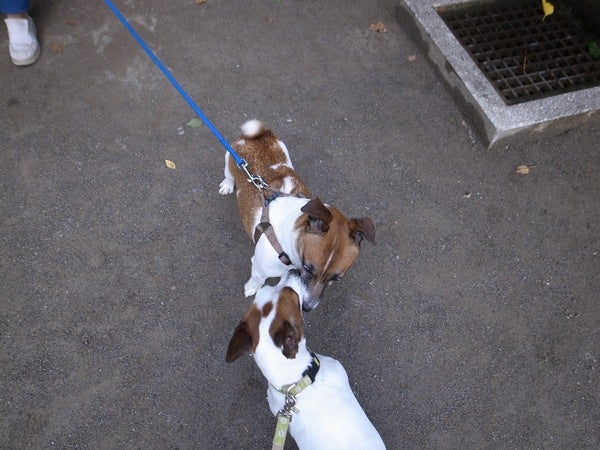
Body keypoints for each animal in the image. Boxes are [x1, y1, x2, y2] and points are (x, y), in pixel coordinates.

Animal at [219, 120, 375, 311]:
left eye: (336, 278)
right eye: (308, 268)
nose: (307, 307)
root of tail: (257, 134)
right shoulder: (259, 267)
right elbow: (256, 279)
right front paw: (251, 288)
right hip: (229, 160)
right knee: (228, 175)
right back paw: (227, 185)